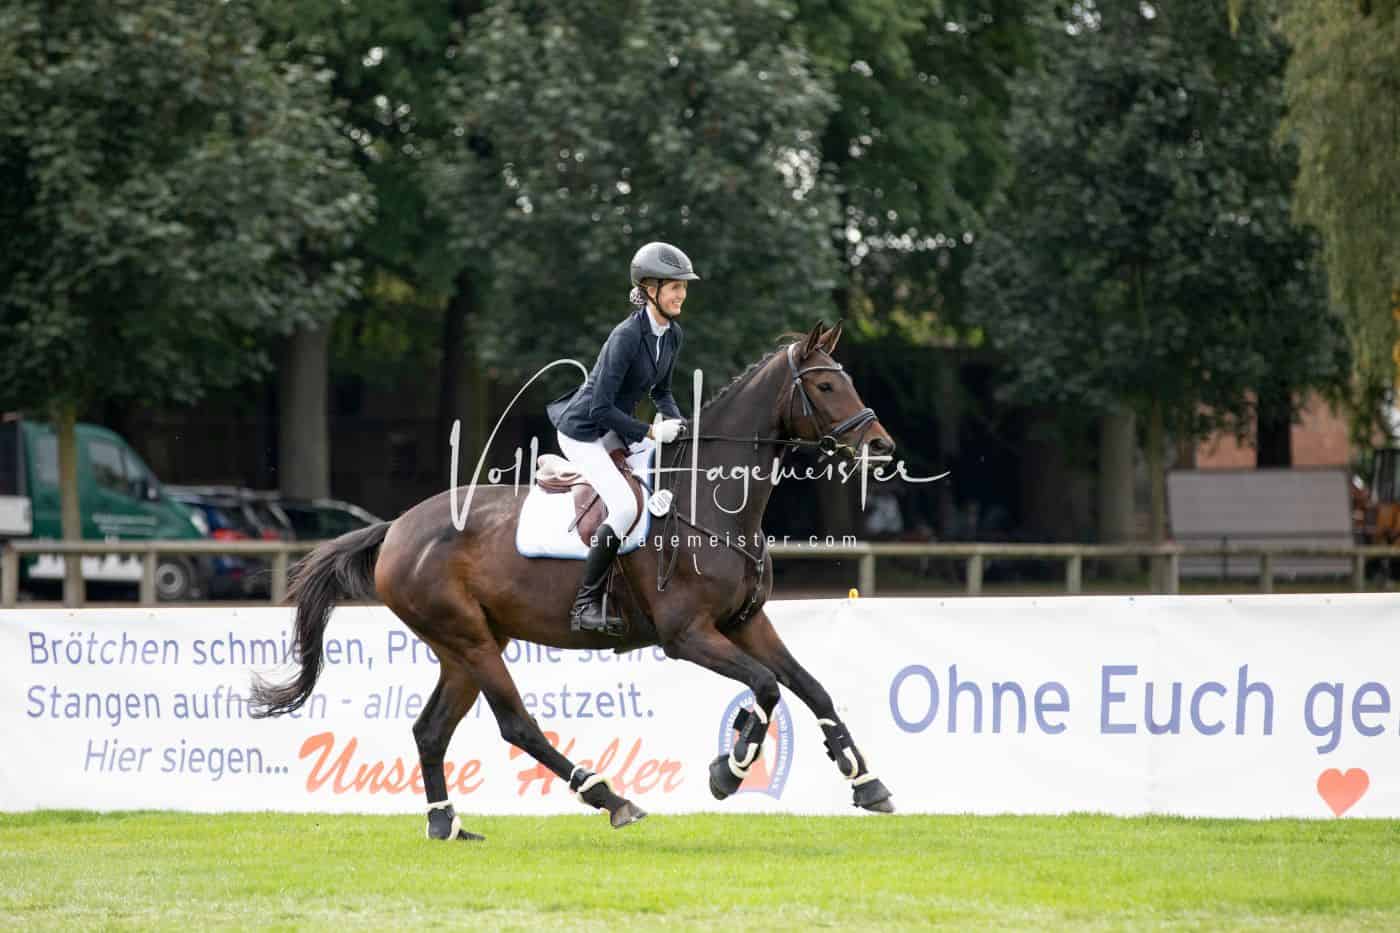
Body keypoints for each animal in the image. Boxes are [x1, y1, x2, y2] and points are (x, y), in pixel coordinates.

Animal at [250, 320, 899, 839]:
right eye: (825, 386)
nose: (882, 447)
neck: (711, 503)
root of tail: (397, 528)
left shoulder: (746, 623)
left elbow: (811, 688)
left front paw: (866, 782)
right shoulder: (687, 635)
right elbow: (764, 688)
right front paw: (728, 770)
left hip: (463, 646)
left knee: (431, 730)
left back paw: (447, 825)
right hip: (470, 641)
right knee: (517, 725)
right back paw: (610, 798)